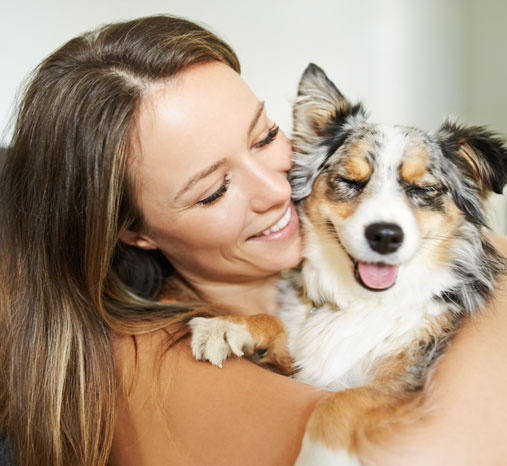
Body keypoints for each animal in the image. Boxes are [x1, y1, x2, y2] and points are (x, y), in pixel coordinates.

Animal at [189, 63, 506, 464]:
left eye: (421, 189)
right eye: (351, 181)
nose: (385, 235)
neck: (362, 303)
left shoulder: (407, 386)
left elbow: (341, 399)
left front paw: (321, 454)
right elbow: (277, 325)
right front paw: (228, 326)